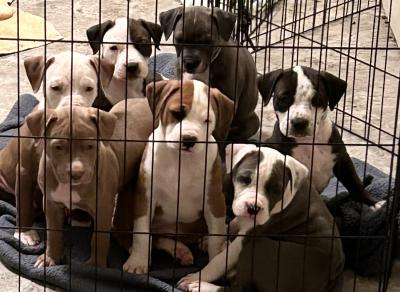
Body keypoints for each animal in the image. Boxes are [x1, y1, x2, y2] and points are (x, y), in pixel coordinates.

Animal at [0, 50, 114, 246]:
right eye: (55, 87)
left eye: (89, 88)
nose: (74, 112)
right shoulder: (24, 170)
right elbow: (23, 203)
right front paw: (25, 233)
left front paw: (79, 218)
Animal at [24, 99, 153, 268]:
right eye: (58, 147)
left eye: (90, 146)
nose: (76, 173)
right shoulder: (52, 203)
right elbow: (53, 233)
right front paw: (50, 258)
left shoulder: (103, 208)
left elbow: (99, 239)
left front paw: (95, 266)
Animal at [122, 79, 234, 274]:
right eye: (177, 113)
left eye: (207, 120)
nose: (189, 139)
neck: (181, 160)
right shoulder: (145, 196)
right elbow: (142, 233)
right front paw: (138, 261)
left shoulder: (214, 199)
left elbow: (216, 235)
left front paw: (214, 263)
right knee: (155, 239)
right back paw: (179, 250)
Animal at [178, 144, 344, 292]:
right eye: (245, 179)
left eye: (276, 190)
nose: (253, 208)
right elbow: (232, 224)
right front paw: (210, 239)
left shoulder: (248, 237)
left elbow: (219, 261)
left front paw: (196, 277)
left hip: (259, 246)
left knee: (240, 288)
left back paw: (201, 286)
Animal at [256, 65, 382, 208]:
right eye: (284, 99)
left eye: (316, 100)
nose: (299, 122)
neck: (308, 141)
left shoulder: (342, 160)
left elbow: (354, 183)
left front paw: (373, 204)